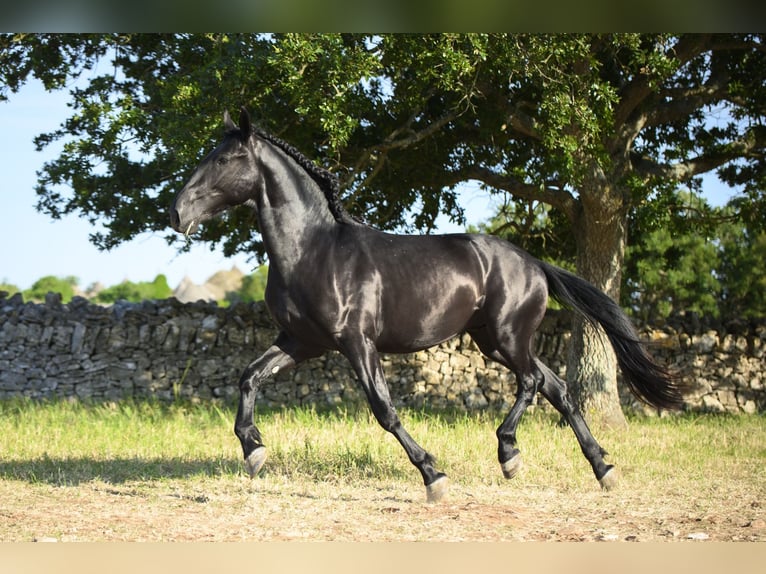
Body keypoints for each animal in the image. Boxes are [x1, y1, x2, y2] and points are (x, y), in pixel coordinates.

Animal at [170, 108, 684, 502]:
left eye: (226, 158)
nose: (177, 213)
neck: (314, 250)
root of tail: (534, 261)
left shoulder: (356, 343)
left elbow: (384, 409)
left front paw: (433, 475)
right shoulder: (301, 341)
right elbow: (249, 377)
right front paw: (254, 451)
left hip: (507, 337)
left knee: (534, 382)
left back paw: (510, 453)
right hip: (494, 340)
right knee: (557, 388)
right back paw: (601, 468)